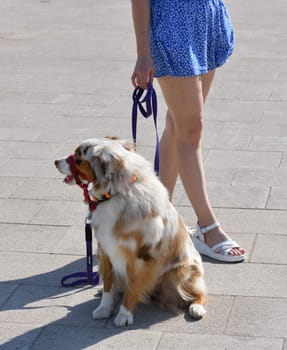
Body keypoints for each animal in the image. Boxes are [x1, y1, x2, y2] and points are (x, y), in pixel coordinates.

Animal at [54, 138, 207, 326]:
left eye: (78, 159)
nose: (55, 162)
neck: (114, 194)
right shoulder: (105, 249)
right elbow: (108, 285)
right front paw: (104, 308)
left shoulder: (141, 257)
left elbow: (132, 288)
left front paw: (124, 315)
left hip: (179, 273)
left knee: (198, 293)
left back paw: (196, 308)